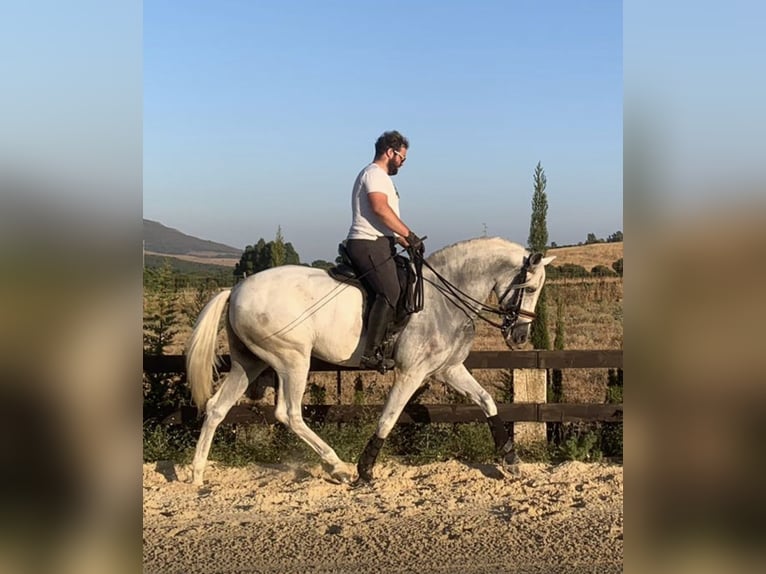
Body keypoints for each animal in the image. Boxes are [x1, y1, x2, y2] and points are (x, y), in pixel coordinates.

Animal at [186, 237, 555, 485]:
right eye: (530, 287)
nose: (520, 337)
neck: (443, 299)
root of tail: (235, 290)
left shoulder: (448, 369)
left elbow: (487, 401)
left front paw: (511, 460)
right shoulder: (410, 373)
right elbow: (388, 419)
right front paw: (365, 470)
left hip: (249, 363)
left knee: (217, 408)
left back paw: (198, 475)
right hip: (292, 360)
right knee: (288, 413)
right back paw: (338, 465)